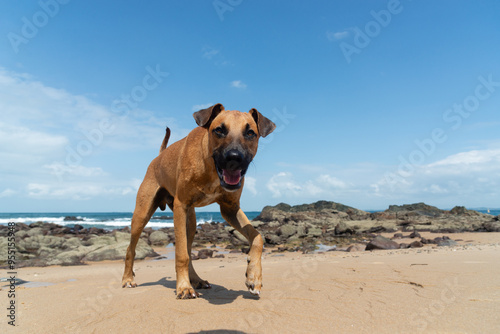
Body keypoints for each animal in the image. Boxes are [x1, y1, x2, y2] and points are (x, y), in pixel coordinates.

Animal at [122, 103, 276, 298]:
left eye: (250, 133)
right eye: (219, 130)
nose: (234, 158)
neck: (211, 168)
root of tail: (159, 157)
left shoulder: (230, 209)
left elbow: (258, 237)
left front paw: (254, 276)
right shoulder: (181, 206)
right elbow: (181, 254)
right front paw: (183, 287)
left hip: (191, 222)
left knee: (188, 248)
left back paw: (196, 280)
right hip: (142, 214)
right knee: (131, 249)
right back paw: (128, 279)